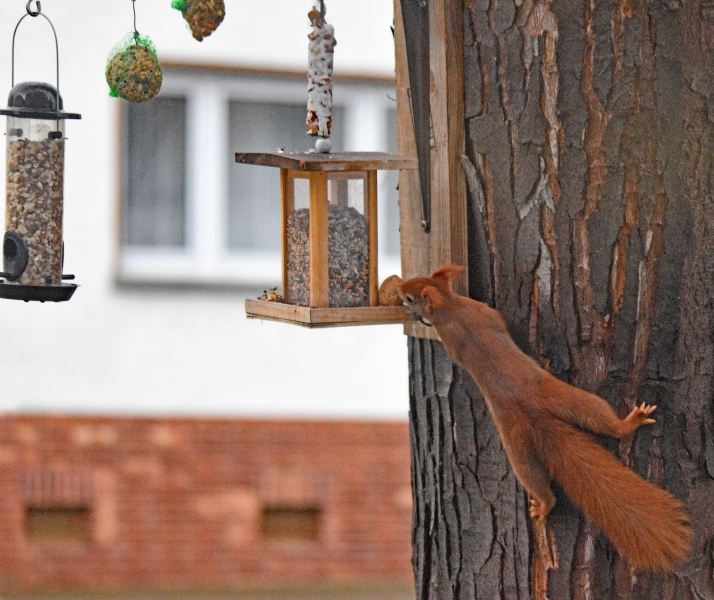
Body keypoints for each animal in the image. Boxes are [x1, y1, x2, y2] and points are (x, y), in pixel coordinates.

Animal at [398, 266, 688, 572]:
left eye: (410, 295)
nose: (398, 291)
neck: (450, 307)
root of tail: (533, 418)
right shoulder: (477, 317)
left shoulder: (471, 320)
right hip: (564, 407)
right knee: (600, 429)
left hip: (530, 434)